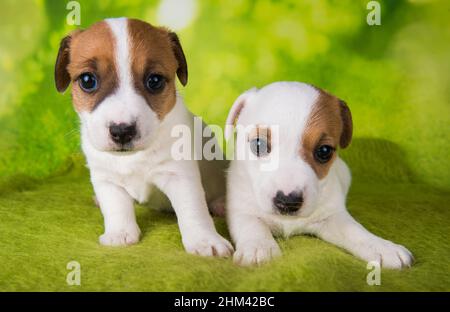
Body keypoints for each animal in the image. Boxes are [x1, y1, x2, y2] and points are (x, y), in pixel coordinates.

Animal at [53, 17, 232, 258]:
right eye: (88, 80)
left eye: (154, 81)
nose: (122, 131)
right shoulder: (106, 179)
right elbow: (116, 207)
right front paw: (119, 233)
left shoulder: (180, 175)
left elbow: (193, 209)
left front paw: (205, 240)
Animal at [227, 81, 414, 268]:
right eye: (258, 145)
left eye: (324, 151)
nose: (288, 201)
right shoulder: (241, 209)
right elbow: (253, 225)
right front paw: (260, 249)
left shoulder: (333, 216)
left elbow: (355, 231)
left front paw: (382, 246)